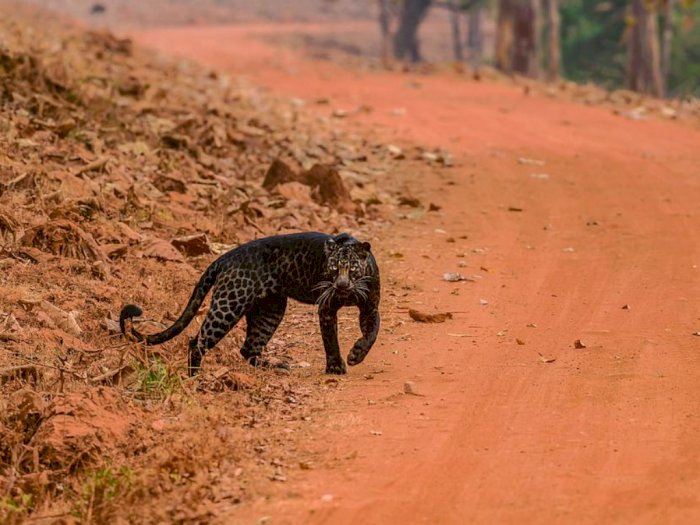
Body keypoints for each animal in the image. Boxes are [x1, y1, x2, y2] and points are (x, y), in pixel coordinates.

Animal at [121, 231, 382, 374]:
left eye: (352, 268)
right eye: (333, 268)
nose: (341, 285)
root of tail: (226, 257)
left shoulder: (370, 308)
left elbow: (372, 333)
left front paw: (356, 355)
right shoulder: (326, 308)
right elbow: (330, 339)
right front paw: (336, 367)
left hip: (270, 309)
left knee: (249, 347)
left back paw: (277, 367)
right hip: (230, 303)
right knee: (197, 342)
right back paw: (195, 378)